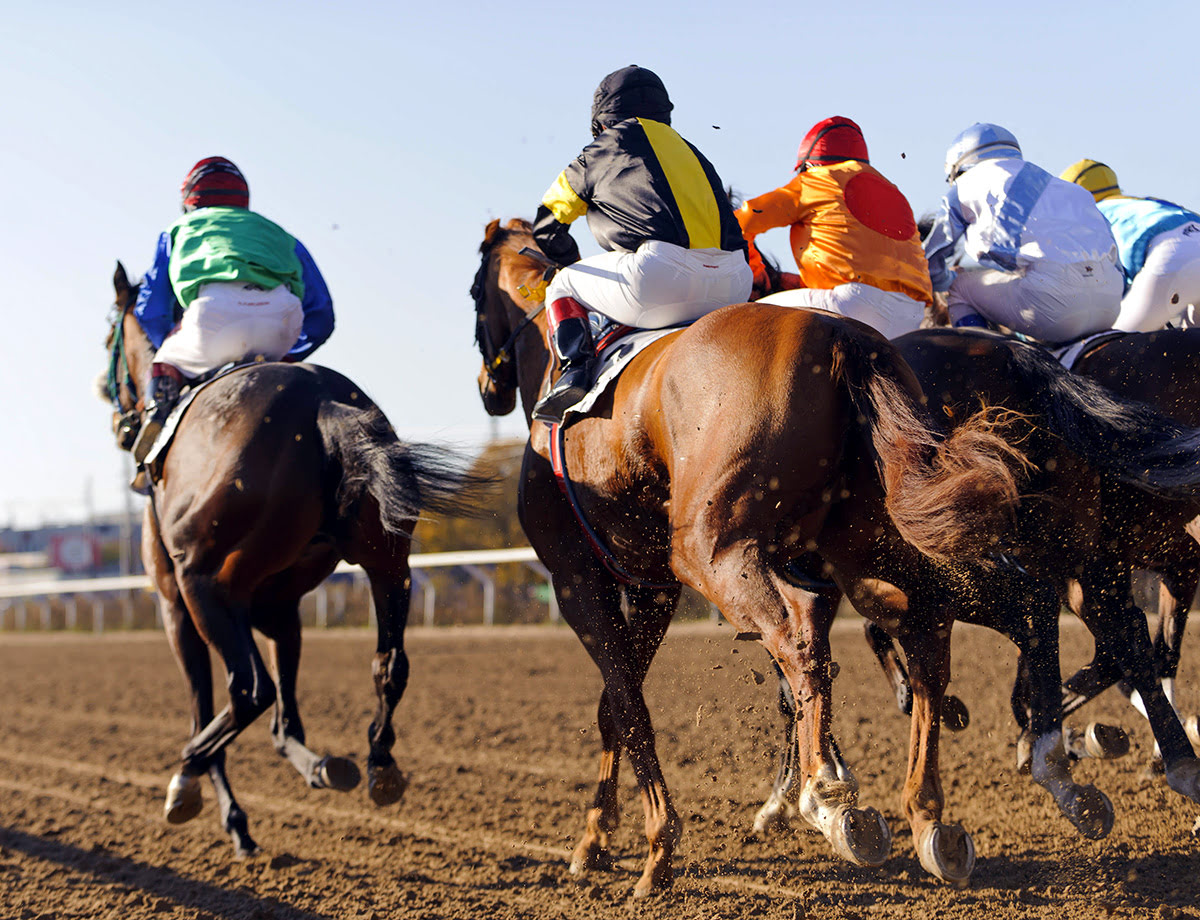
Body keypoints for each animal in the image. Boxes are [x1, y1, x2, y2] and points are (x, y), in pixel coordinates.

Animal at [103, 262, 477, 858]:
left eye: (106, 340)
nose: (110, 403)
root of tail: (325, 405)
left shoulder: (175, 603)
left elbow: (212, 701)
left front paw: (222, 810)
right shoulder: (278, 607)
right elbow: (287, 720)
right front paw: (321, 767)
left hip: (200, 581)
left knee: (247, 689)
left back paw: (184, 774)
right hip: (388, 561)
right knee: (389, 665)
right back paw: (379, 767)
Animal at [470, 218, 1041, 892]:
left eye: (475, 294)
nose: (487, 389)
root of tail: (844, 338)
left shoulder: (576, 579)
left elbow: (627, 704)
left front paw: (652, 848)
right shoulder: (653, 585)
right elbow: (616, 703)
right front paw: (597, 838)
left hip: (712, 549)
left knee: (803, 639)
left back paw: (830, 796)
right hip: (869, 544)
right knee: (928, 637)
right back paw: (928, 817)